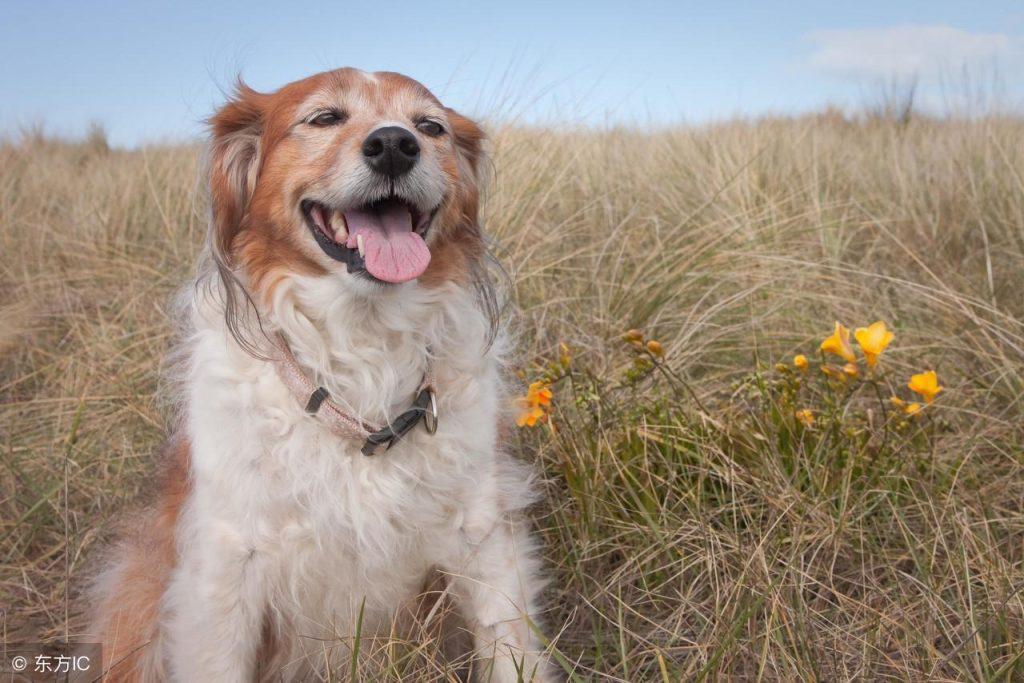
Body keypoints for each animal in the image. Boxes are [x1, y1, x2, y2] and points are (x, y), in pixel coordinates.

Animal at [84, 69, 552, 683]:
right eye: (325, 118)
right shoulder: (226, 568)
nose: (395, 144)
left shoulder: (482, 534)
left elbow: (509, 649)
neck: (361, 363)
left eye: (431, 127)